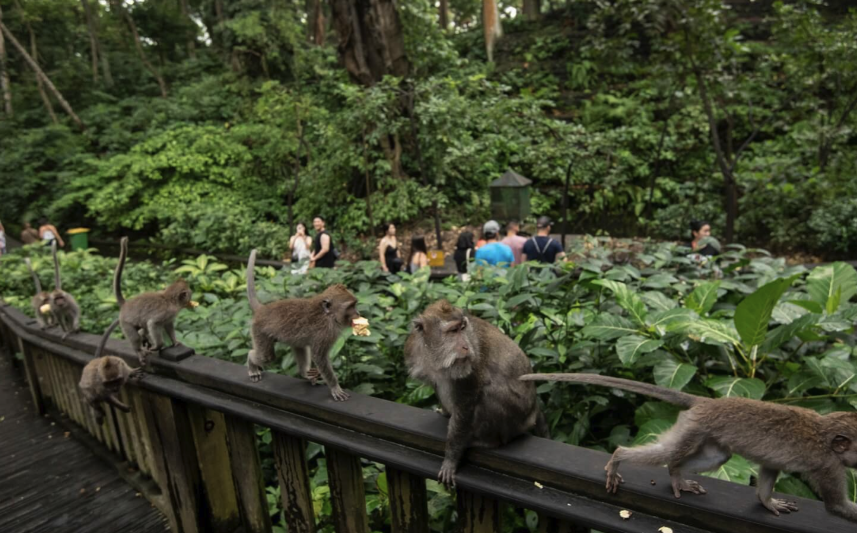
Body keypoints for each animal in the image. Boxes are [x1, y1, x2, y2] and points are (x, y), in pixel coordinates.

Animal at [114, 236, 193, 366]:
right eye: (189, 294)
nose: (191, 299)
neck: (169, 299)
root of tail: (126, 304)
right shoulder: (167, 311)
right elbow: (153, 323)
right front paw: (158, 346)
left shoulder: (169, 315)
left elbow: (168, 325)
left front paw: (175, 341)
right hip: (125, 322)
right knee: (136, 335)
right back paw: (139, 350)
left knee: (143, 329)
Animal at [245, 249, 359, 402]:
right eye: (350, 307)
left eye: (355, 305)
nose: (358, 313)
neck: (328, 316)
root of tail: (262, 309)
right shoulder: (325, 333)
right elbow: (320, 357)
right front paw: (335, 387)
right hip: (259, 331)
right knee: (266, 356)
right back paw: (252, 363)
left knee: (299, 346)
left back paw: (304, 373)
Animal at [405, 300, 549, 488]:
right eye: (453, 331)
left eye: (462, 328)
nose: (466, 347)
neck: (433, 355)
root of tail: (533, 409)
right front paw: (445, 412)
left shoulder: (472, 366)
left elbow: (465, 407)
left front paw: (451, 459)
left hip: (517, 419)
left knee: (487, 394)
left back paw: (488, 441)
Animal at [519, 373, 857, 522]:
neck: (827, 435)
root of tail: (709, 402)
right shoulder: (829, 465)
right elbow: (837, 507)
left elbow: (769, 470)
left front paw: (767, 501)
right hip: (693, 427)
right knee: (668, 453)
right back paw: (618, 459)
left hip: (702, 430)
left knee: (717, 456)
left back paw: (676, 474)